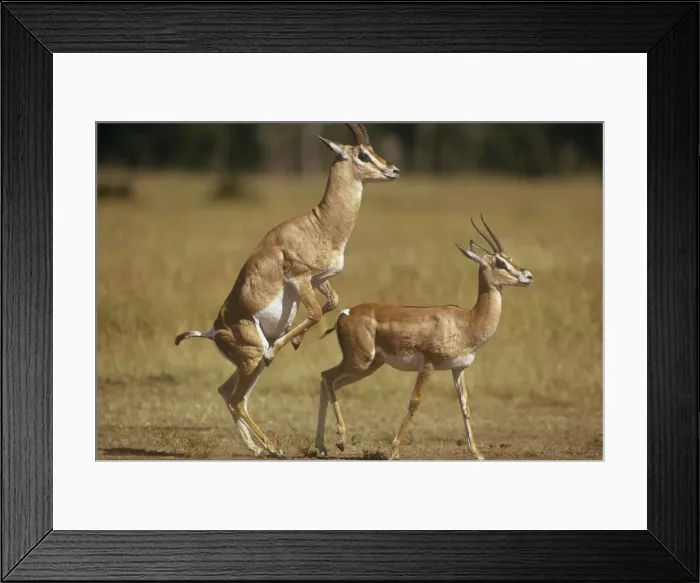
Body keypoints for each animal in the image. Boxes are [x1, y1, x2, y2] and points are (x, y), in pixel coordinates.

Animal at [174, 123, 399, 458]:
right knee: (238, 397)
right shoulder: (300, 278)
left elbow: (332, 303)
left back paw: (256, 448)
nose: (393, 170)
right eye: (363, 154)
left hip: (249, 366)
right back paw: (272, 446)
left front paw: (293, 341)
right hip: (253, 359)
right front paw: (283, 344)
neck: (321, 225)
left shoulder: (319, 279)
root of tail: (214, 331)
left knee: (228, 392)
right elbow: (316, 312)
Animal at [315, 215, 534, 460]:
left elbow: (465, 406)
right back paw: (340, 440)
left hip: (370, 365)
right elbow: (414, 402)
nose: (528, 276)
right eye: (499, 262)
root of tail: (345, 313)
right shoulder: (428, 365)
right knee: (326, 377)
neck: (467, 321)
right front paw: (394, 450)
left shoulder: (458, 369)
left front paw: (477, 453)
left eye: (509, 258)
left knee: (330, 382)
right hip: (360, 362)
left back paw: (322, 447)